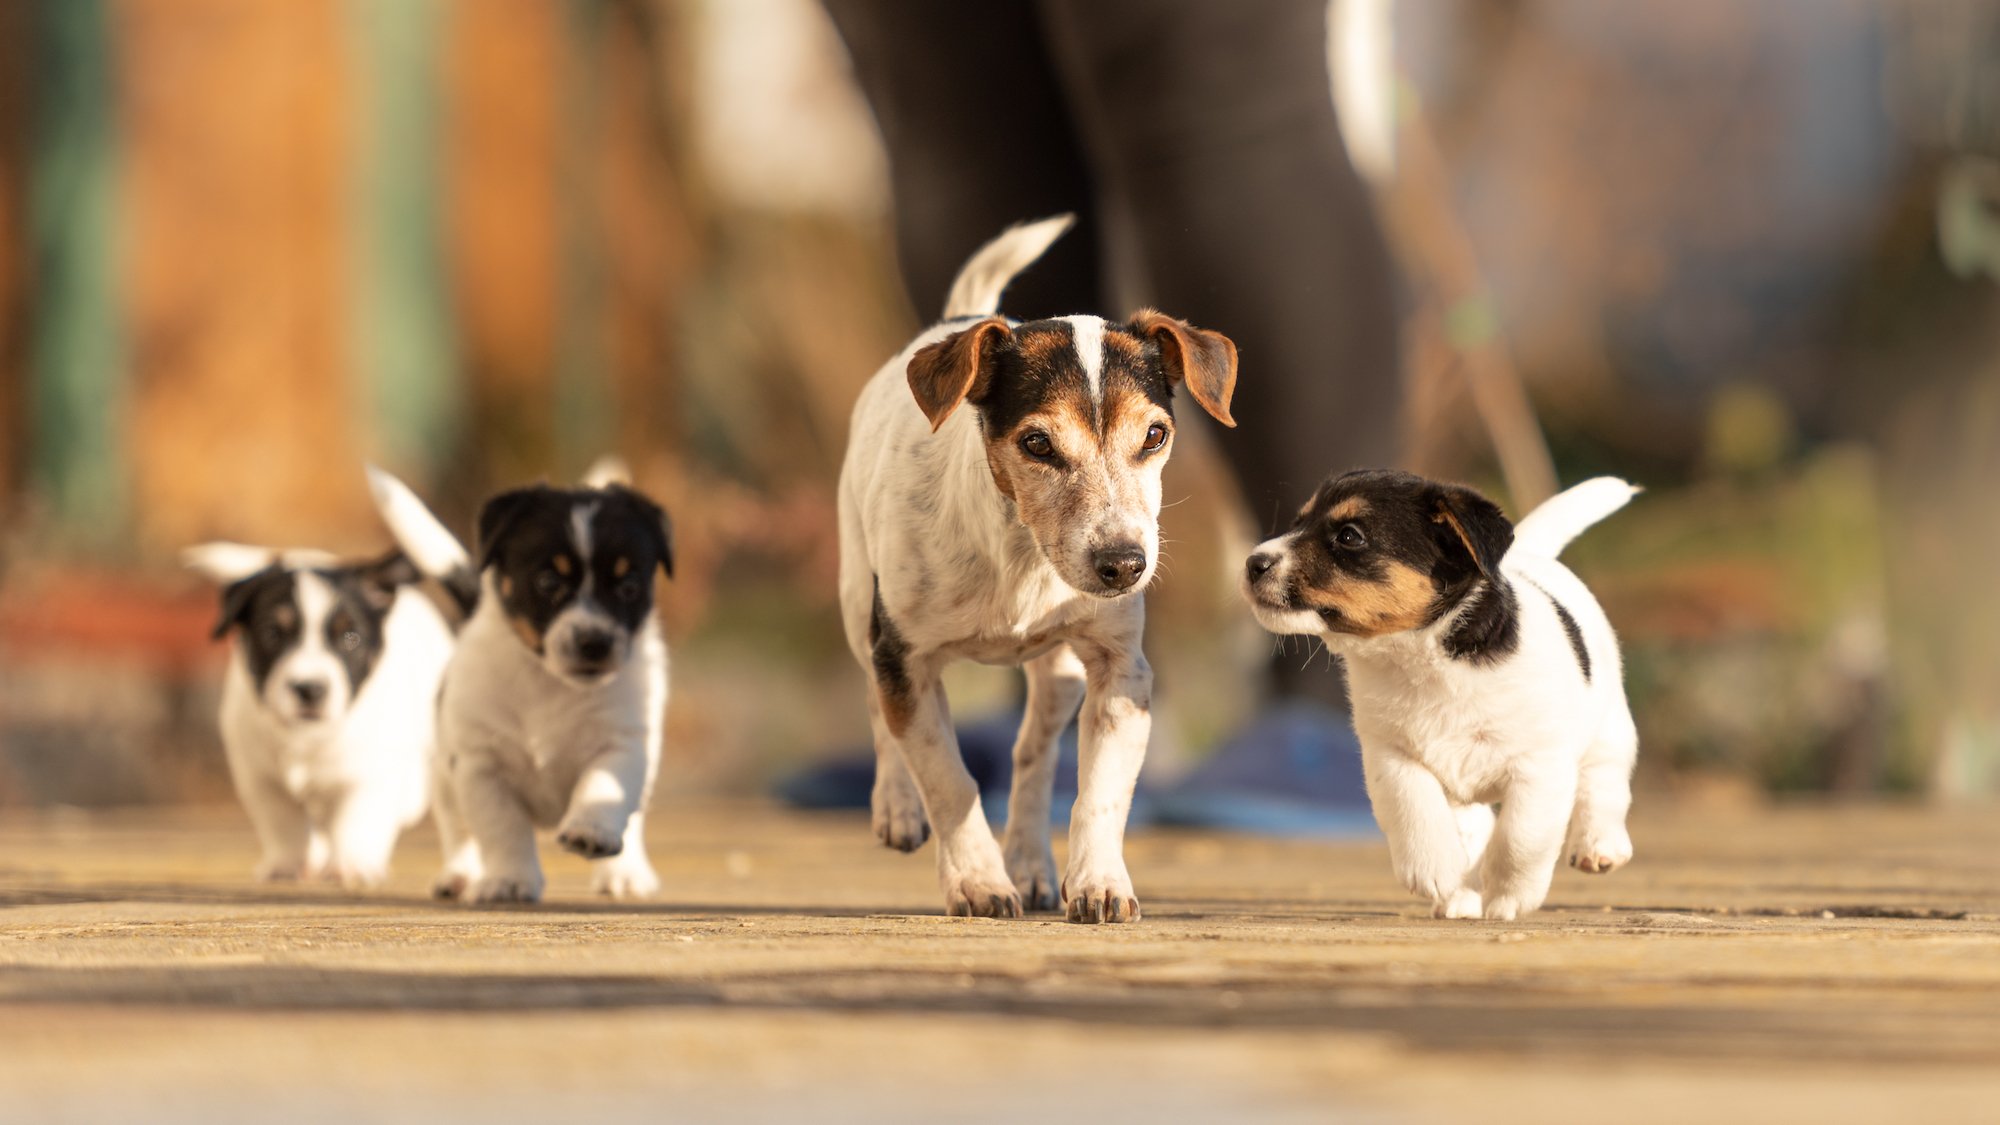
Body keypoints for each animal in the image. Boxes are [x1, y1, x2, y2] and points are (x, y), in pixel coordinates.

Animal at [188, 540, 454, 888]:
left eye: (350, 637)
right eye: (273, 633)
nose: (309, 688)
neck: (308, 739)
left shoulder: (369, 776)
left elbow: (356, 819)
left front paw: (352, 865)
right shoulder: (260, 779)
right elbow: (283, 822)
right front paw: (288, 864)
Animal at [376, 458, 680, 900]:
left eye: (629, 585)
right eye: (548, 581)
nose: (595, 643)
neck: (551, 683)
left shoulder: (622, 744)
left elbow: (602, 789)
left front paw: (591, 831)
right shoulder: (480, 767)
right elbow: (503, 829)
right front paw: (510, 879)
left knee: (634, 819)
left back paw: (624, 872)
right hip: (446, 782)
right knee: (458, 831)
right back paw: (460, 873)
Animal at [836, 212, 1240, 920]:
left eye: (1155, 435)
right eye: (1037, 443)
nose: (1123, 564)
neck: (1021, 554)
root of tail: (964, 317)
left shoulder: (1120, 672)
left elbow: (1099, 795)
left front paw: (1098, 881)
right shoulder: (905, 659)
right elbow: (948, 779)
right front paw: (976, 880)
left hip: (1060, 674)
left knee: (1033, 753)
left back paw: (1028, 860)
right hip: (860, 601)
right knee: (877, 708)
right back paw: (897, 809)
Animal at [1232, 468, 1640, 916]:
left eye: (1350, 536)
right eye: (1298, 522)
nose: (1253, 563)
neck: (1420, 657)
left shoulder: (1539, 765)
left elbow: (1521, 837)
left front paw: (1511, 895)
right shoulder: (1391, 754)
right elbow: (1414, 806)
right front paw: (1437, 872)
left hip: (1609, 725)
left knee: (1603, 779)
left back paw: (1599, 844)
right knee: (1473, 823)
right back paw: (1462, 893)